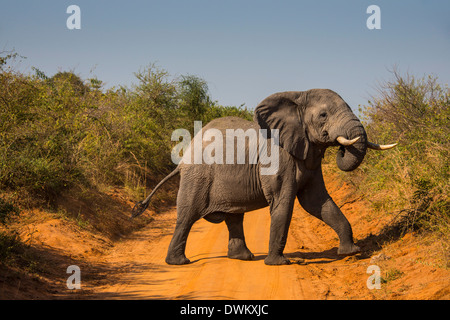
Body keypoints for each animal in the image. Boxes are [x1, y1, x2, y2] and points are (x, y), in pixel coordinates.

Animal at [131, 89, 398, 266]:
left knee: (234, 217)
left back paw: (244, 258)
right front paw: (278, 264)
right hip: (198, 177)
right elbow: (284, 202)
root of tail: (184, 158)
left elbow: (317, 202)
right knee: (187, 216)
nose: (341, 146)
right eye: (323, 115)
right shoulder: (277, 158)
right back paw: (179, 262)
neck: (296, 97)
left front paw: (351, 252)